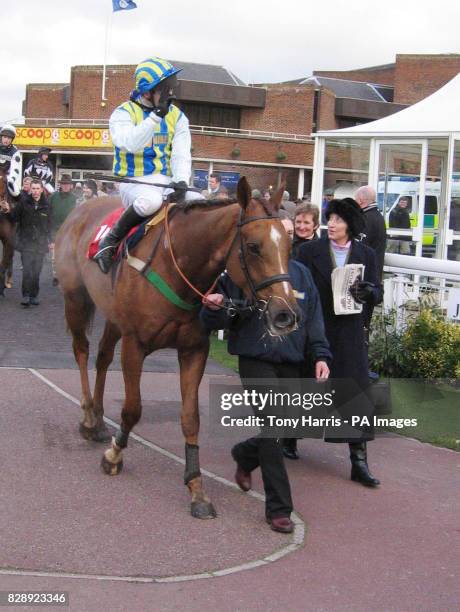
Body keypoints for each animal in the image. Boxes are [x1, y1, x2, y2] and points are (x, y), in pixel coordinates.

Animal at [54, 176, 298, 516]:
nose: (284, 314)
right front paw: (114, 456)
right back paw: (89, 417)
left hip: (113, 316)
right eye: (253, 247)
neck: (176, 266)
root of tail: (81, 207)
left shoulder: (194, 350)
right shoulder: (135, 345)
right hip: (75, 298)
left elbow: (190, 418)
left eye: (289, 245)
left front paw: (196, 488)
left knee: (102, 357)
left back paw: (100, 419)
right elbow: (133, 409)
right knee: (81, 351)